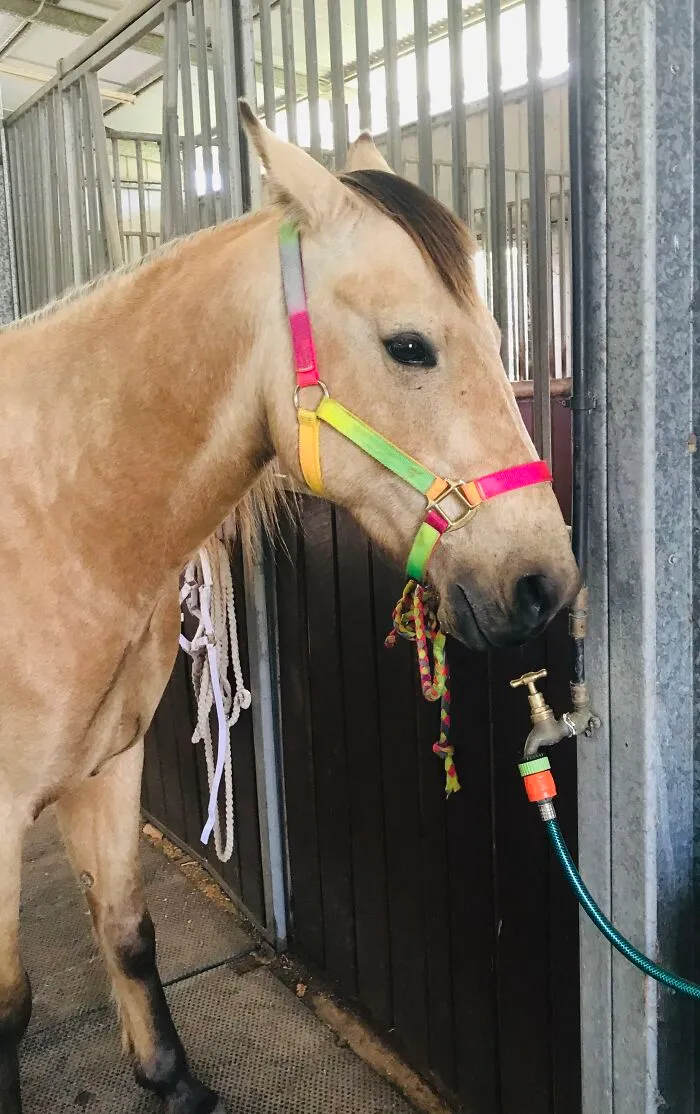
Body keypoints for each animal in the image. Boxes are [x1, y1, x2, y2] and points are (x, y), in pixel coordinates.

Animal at [0, 104, 579, 1114]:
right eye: (409, 346)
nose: (544, 583)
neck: (59, 514)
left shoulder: (105, 768)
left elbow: (127, 928)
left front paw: (174, 1083)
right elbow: (9, 1009)